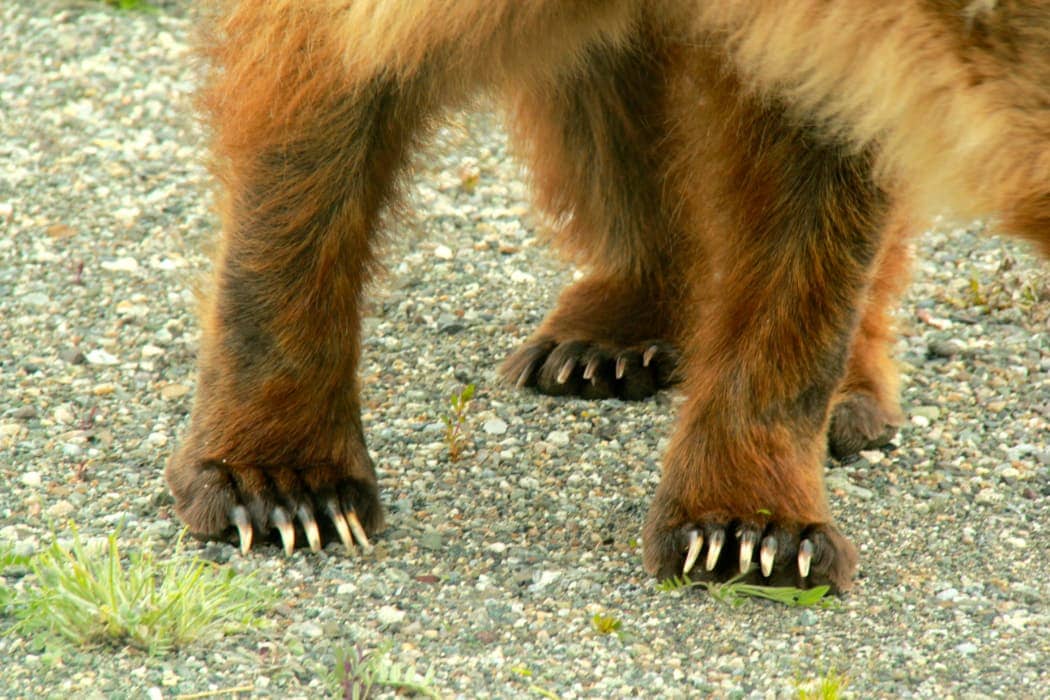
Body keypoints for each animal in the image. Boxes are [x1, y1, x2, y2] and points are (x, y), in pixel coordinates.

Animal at [163, 0, 1050, 596]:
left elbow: (807, 199)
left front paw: (752, 532)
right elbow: (323, 85)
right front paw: (282, 488)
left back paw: (848, 397)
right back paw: (605, 342)